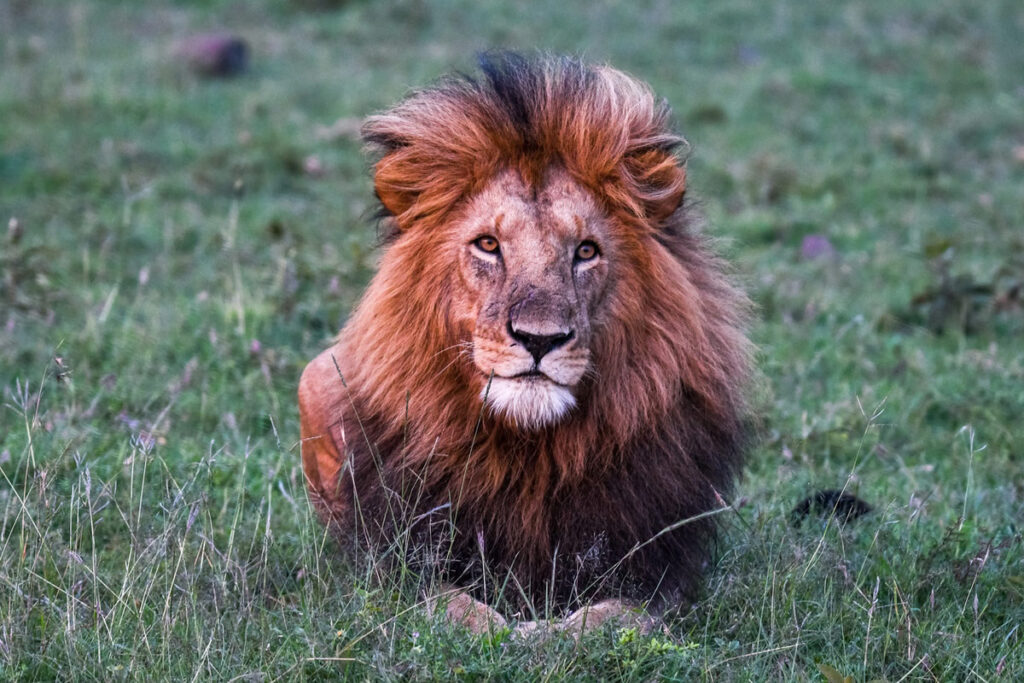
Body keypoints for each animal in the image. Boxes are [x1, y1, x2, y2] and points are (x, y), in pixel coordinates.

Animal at [299, 53, 751, 633]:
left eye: (586, 251)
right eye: (488, 245)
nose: (541, 339)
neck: (531, 454)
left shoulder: (656, 570)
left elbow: (609, 618)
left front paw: (546, 635)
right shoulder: (397, 561)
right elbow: (453, 608)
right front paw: (504, 632)